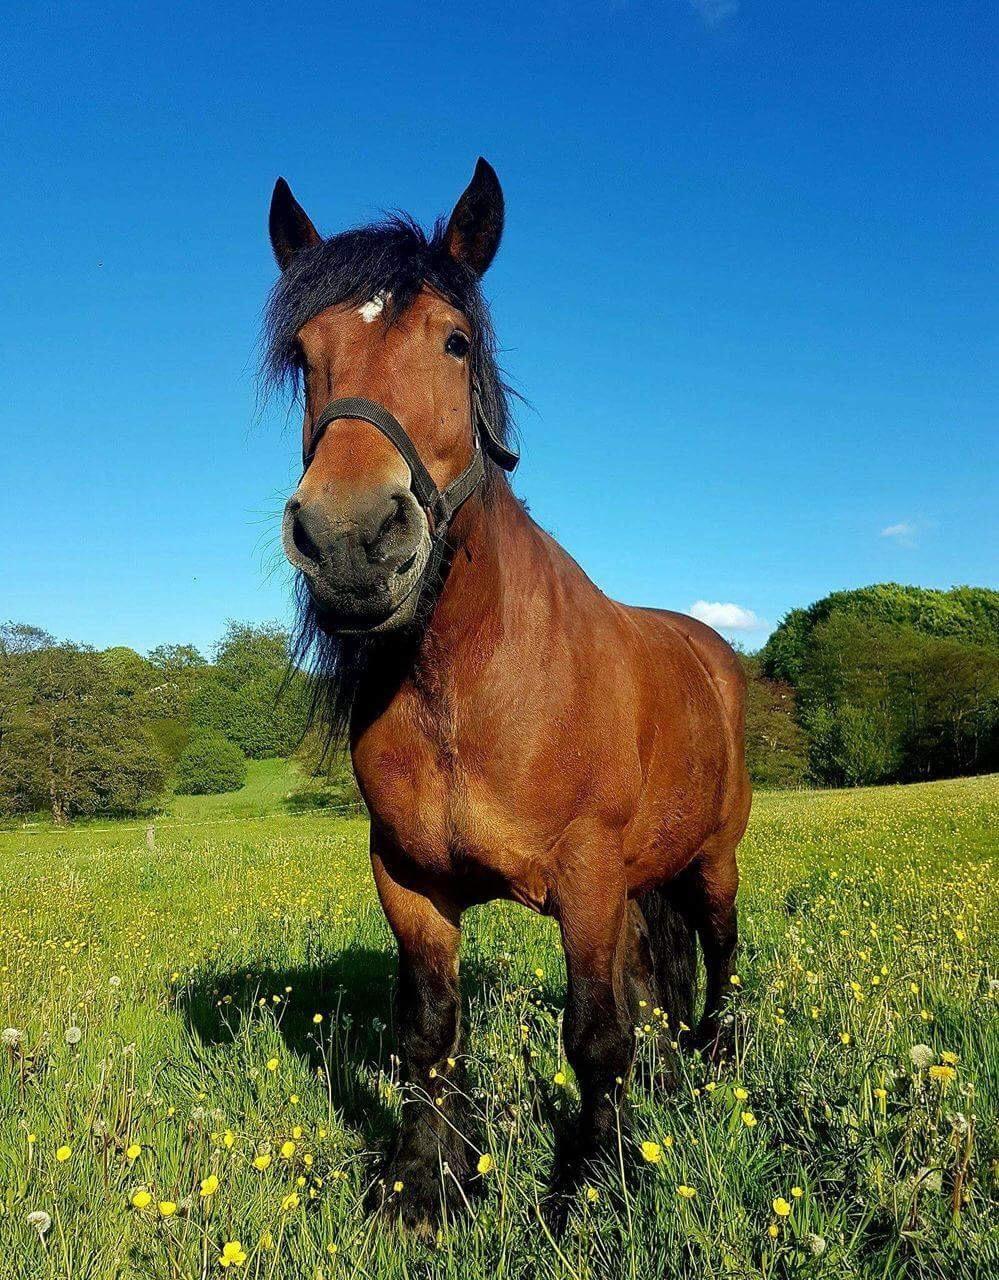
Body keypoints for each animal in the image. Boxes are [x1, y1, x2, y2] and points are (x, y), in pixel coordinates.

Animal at [265, 160, 747, 1228]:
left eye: (453, 341)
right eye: (305, 354)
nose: (351, 540)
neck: (470, 691)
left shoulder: (588, 878)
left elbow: (594, 1032)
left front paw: (592, 1186)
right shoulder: (409, 883)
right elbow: (428, 1030)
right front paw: (423, 1181)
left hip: (712, 858)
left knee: (720, 951)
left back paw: (715, 1065)